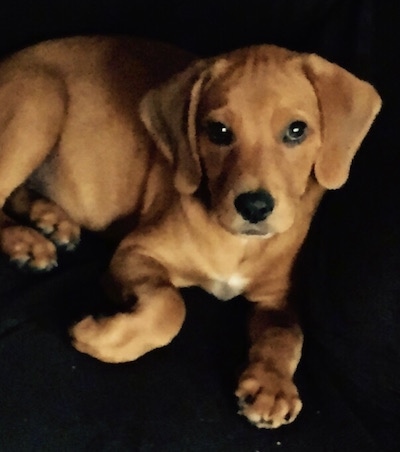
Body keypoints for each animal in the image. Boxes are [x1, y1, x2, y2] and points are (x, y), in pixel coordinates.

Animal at [0, 37, 382, 430]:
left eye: (296, 130)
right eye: (219, 132)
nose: (254, 207)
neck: (238, 242)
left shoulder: (278, 297)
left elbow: (286, 333)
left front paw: (271, 386)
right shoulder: (135, 252)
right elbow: (171, 305)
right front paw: (102, 337)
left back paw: (49, 218)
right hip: (39, 104)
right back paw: (24, 241)